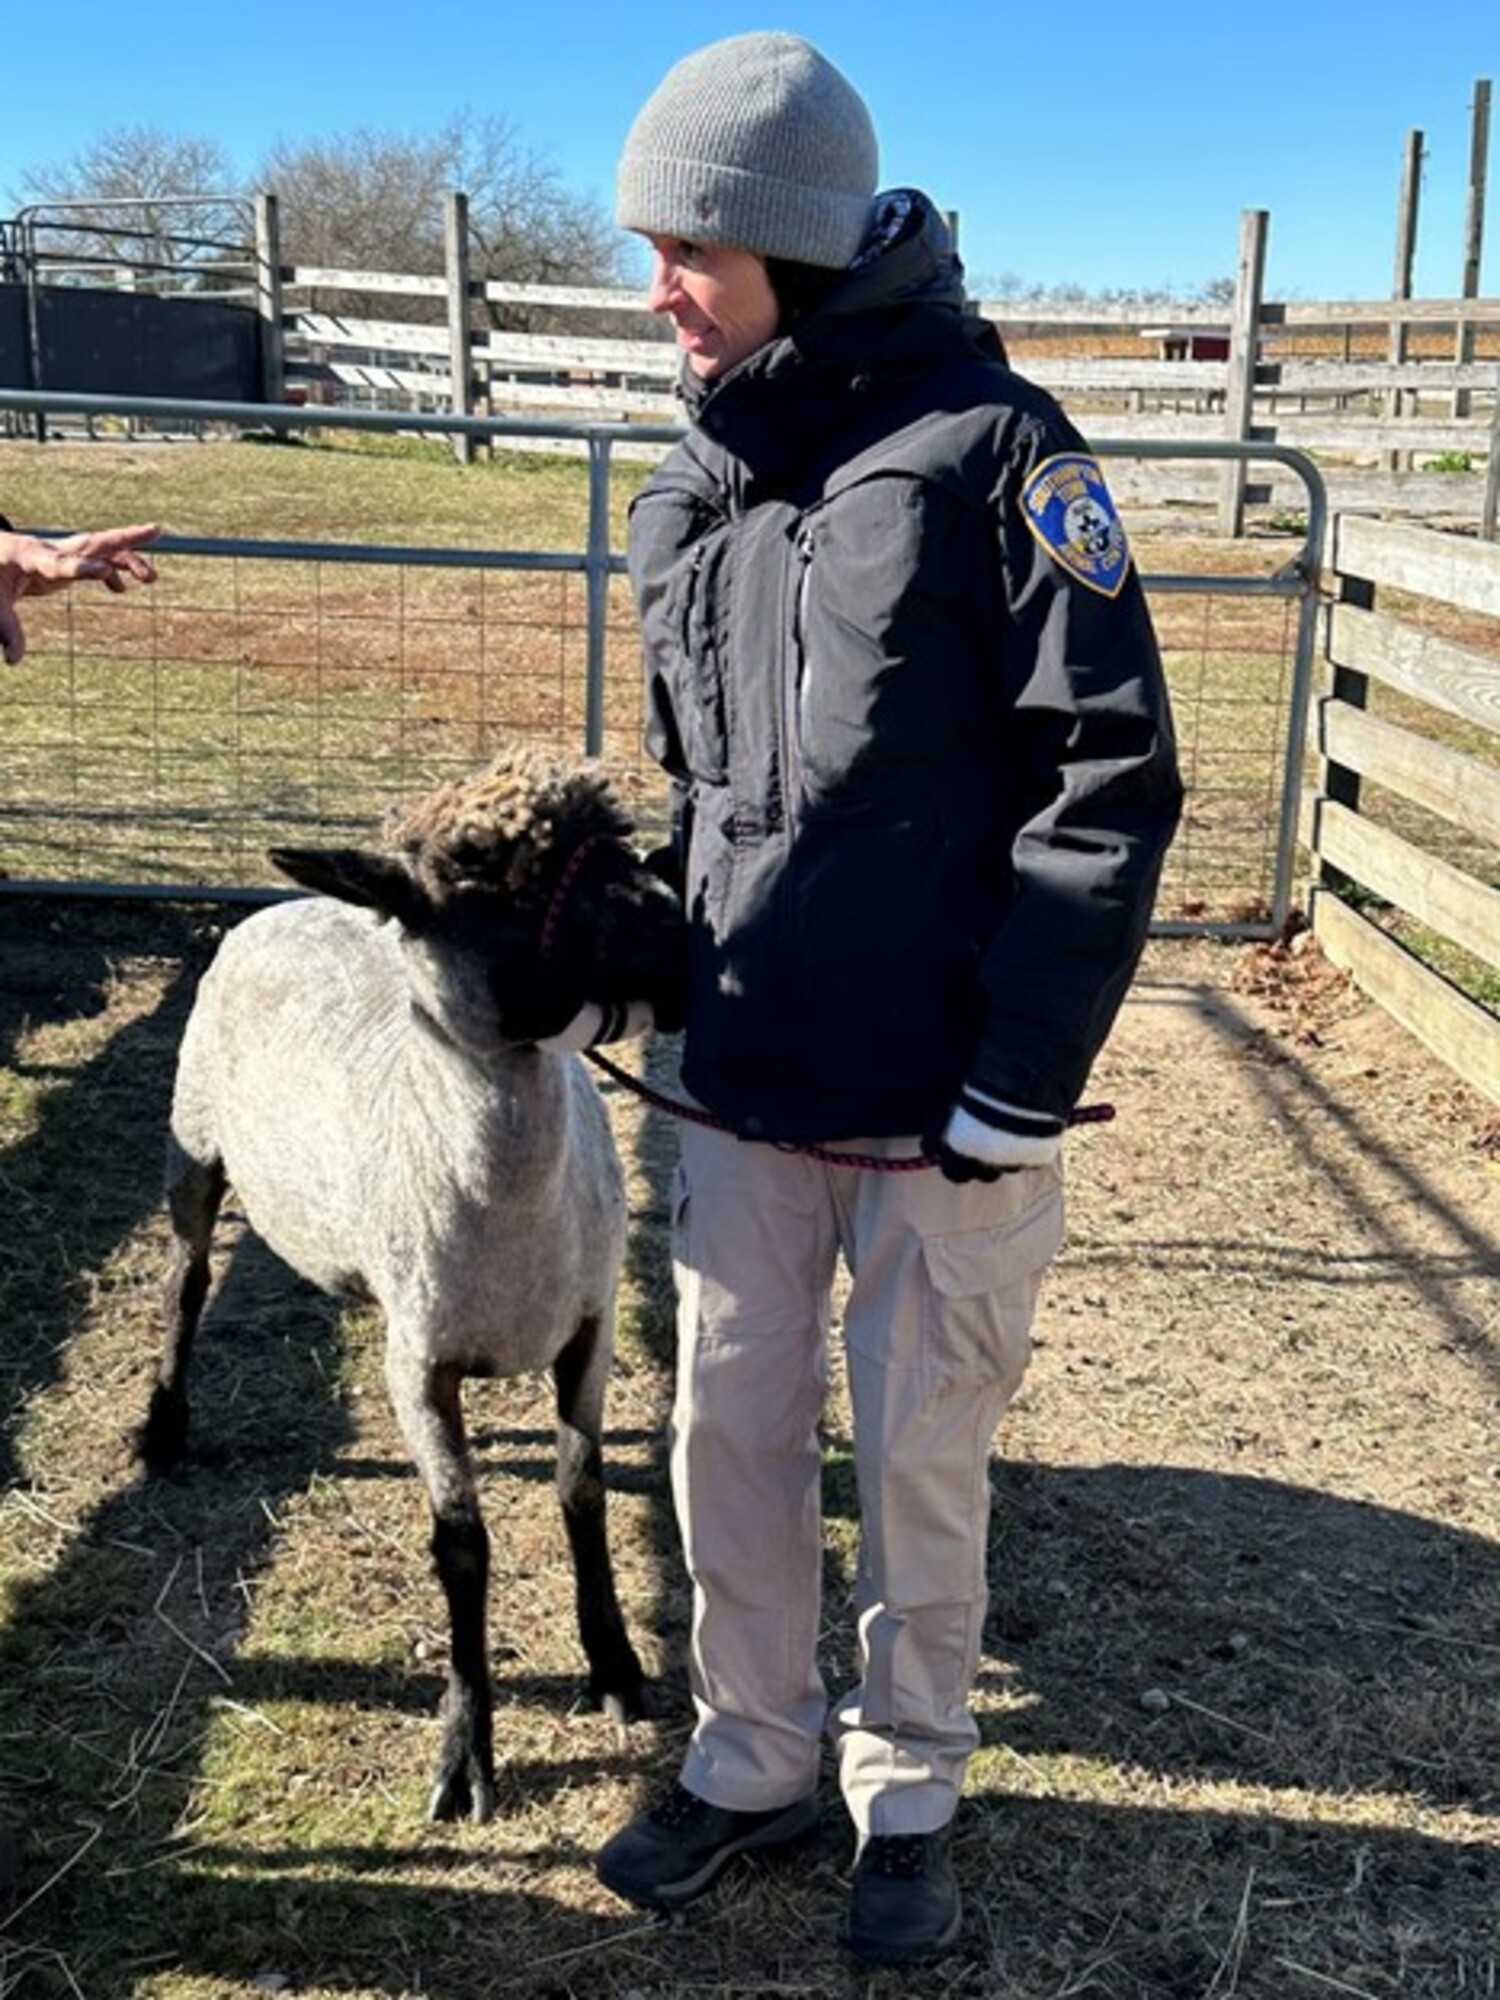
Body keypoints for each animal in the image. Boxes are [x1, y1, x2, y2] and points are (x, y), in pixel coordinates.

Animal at [138, 744, 692, 1824]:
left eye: (613, 841)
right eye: (485, 888)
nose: (683, 939)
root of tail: (287, 903)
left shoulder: (590, 1329)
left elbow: (582, 1492)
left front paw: (615, 1669)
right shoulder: (420, 1367)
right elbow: (461, 1545)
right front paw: (466, 1752)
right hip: (194, 1140)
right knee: (188, 1279)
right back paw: (162, 1428)